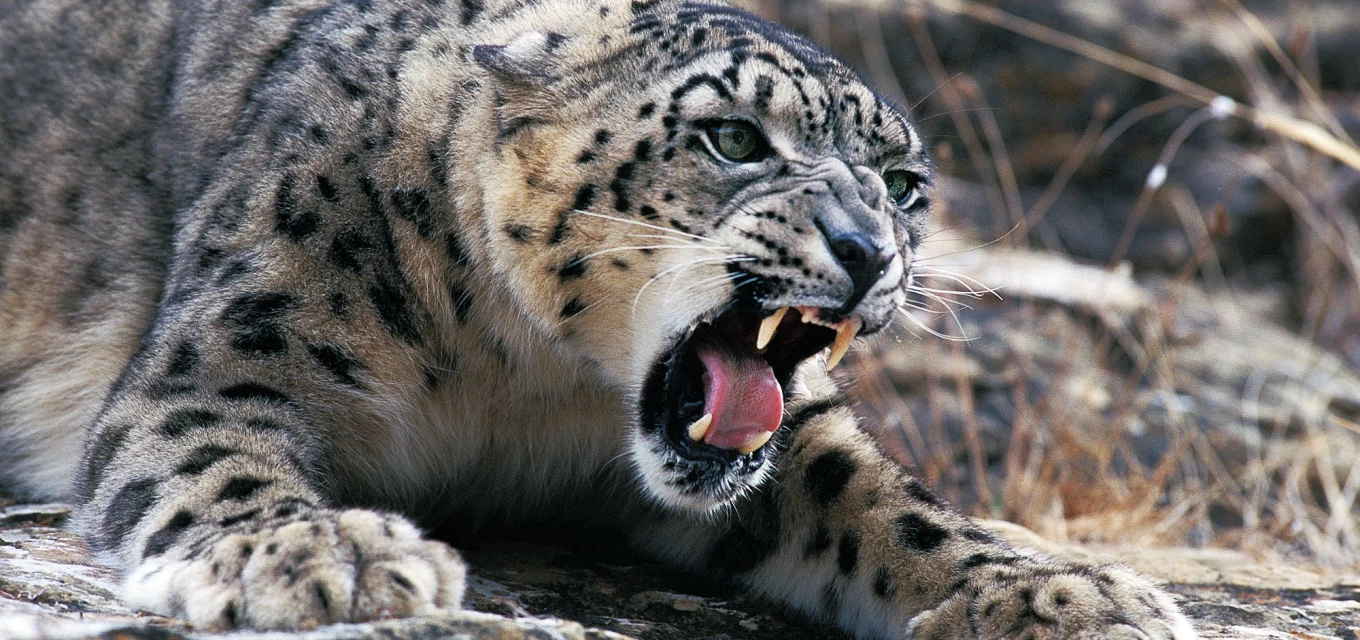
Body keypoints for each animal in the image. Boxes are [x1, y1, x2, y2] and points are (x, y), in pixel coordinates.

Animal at [0, 0, 1197, 637]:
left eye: (904, 184)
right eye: (734, 138)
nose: (870, 251)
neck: (517, 375)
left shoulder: (796, 434)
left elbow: (893, 508)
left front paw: (1071, 589)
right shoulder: (236, 347)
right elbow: (215, 455)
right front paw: (320, 550)